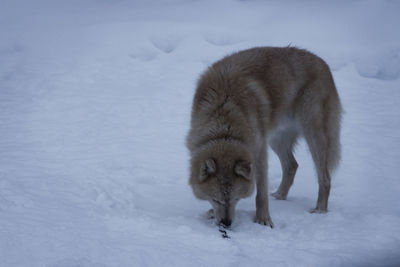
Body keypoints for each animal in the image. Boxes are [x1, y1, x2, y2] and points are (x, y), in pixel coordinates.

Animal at [187, 47, 340, 227]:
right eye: (216, 200)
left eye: (236, 199)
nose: (226, 223)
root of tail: (323, 63)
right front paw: (212, 213)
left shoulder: (259, 154)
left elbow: (261, 194)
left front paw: (263, 219)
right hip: (276, 141)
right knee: (292, 165)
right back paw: (280, 195)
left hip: (313, 136)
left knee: (325, 178)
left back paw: (320, 209)